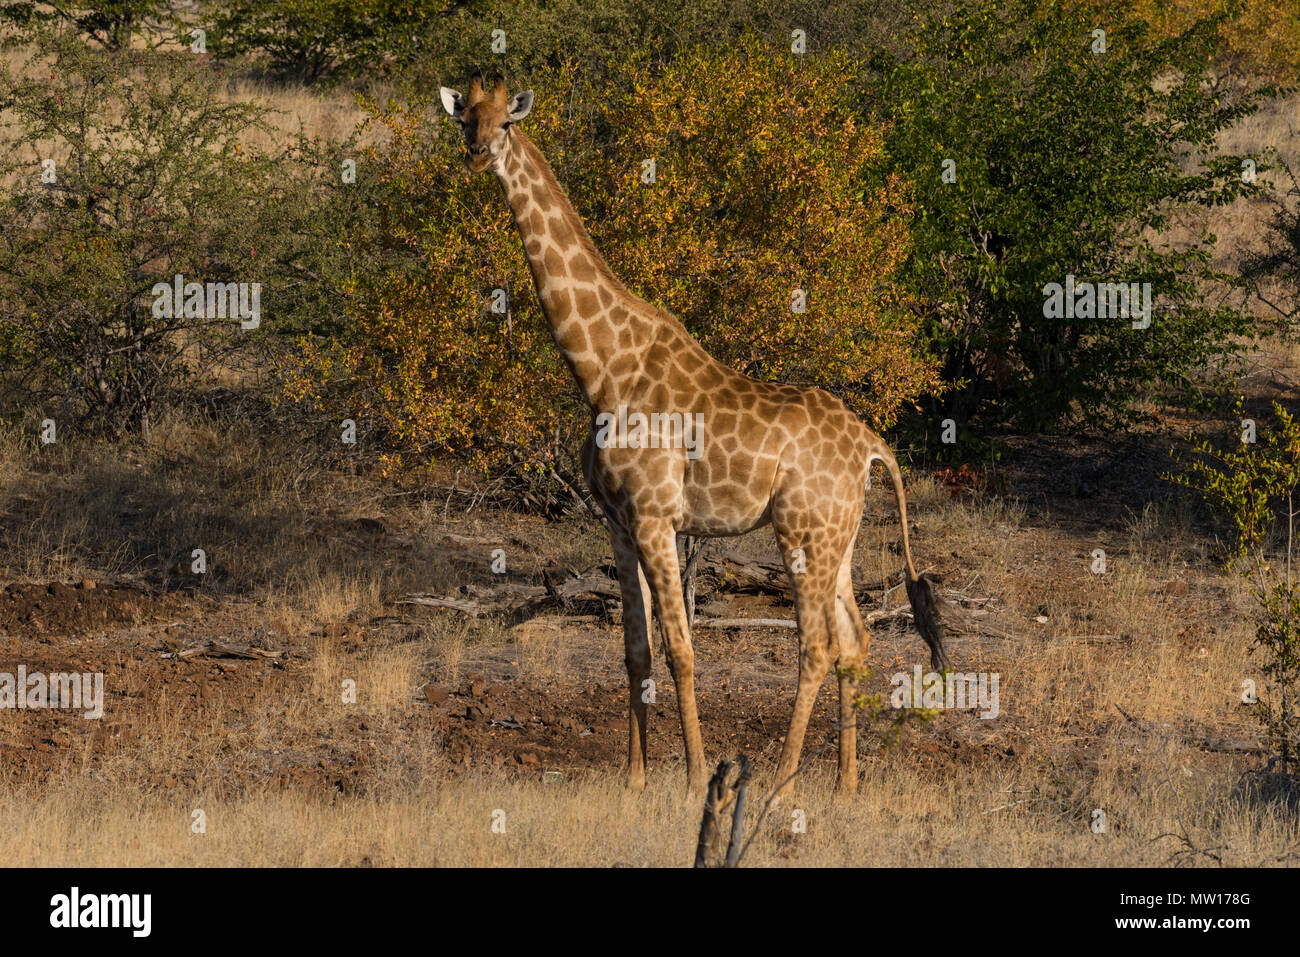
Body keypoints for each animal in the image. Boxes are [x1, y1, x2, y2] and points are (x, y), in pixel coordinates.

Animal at [441, 74, 951, 795]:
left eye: (505, 124)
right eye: (465, 120)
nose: (478, 153)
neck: (602, 368)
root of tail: (873, 448)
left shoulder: (658, 516)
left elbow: (682, 649)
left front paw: (692, 777)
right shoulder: (619, 521)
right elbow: (634, 648)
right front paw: (633, 779)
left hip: (801, 532)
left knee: (817, 643)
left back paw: (781, 780)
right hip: (840, 536)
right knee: (855, 640)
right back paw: (845, 784)